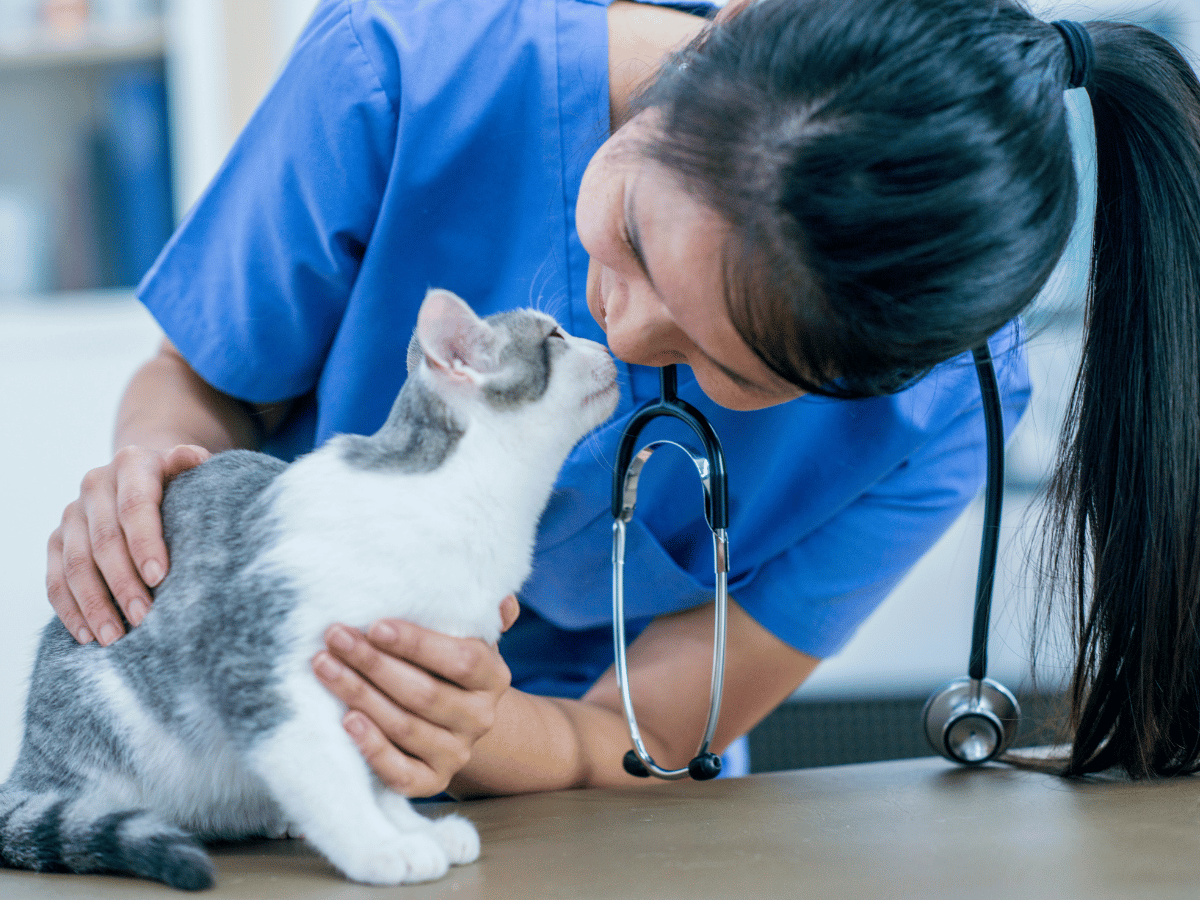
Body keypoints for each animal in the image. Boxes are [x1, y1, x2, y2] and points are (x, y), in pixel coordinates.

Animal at [0, 289, 619, 888]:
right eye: (555, 336)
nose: (604, 341)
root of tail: (31, 762)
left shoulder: (387, 685)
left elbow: (379, 770)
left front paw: (408, 827)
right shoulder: (261, 661)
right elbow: (330, 771)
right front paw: (377, 846)